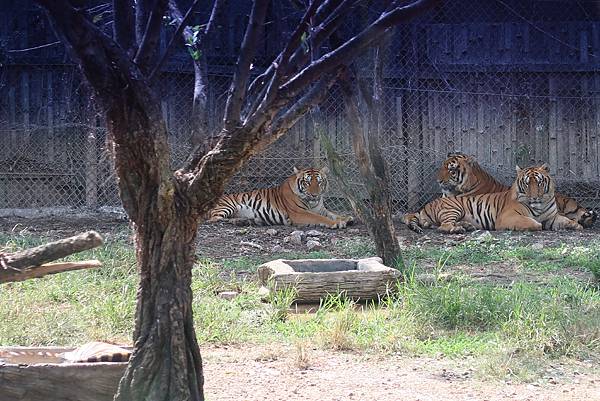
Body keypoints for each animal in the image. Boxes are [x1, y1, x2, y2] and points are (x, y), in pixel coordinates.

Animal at [207, 166, 354, 228]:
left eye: (319, 182)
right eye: (307, 182)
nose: (315, 194)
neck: (313, 203)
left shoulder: (320, 209)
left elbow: (333, 214)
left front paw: (346, 218)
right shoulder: (299, 213)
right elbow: (320, 218)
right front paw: (337, 223)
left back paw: (246, 221)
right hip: (227, 206)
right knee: (213, 220)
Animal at [404, 163, 580, 233]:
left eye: (539, 182)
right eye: (526, 183)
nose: (534, 197)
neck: (541, 204)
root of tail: (425, 206)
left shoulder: (551, 217)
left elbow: (565, 219)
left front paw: (576, 225)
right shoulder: (508, 217)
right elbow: (533, 223)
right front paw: (536, 225)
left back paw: (466, 226)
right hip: (453, 208)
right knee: (443, 226)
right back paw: (457, 229)